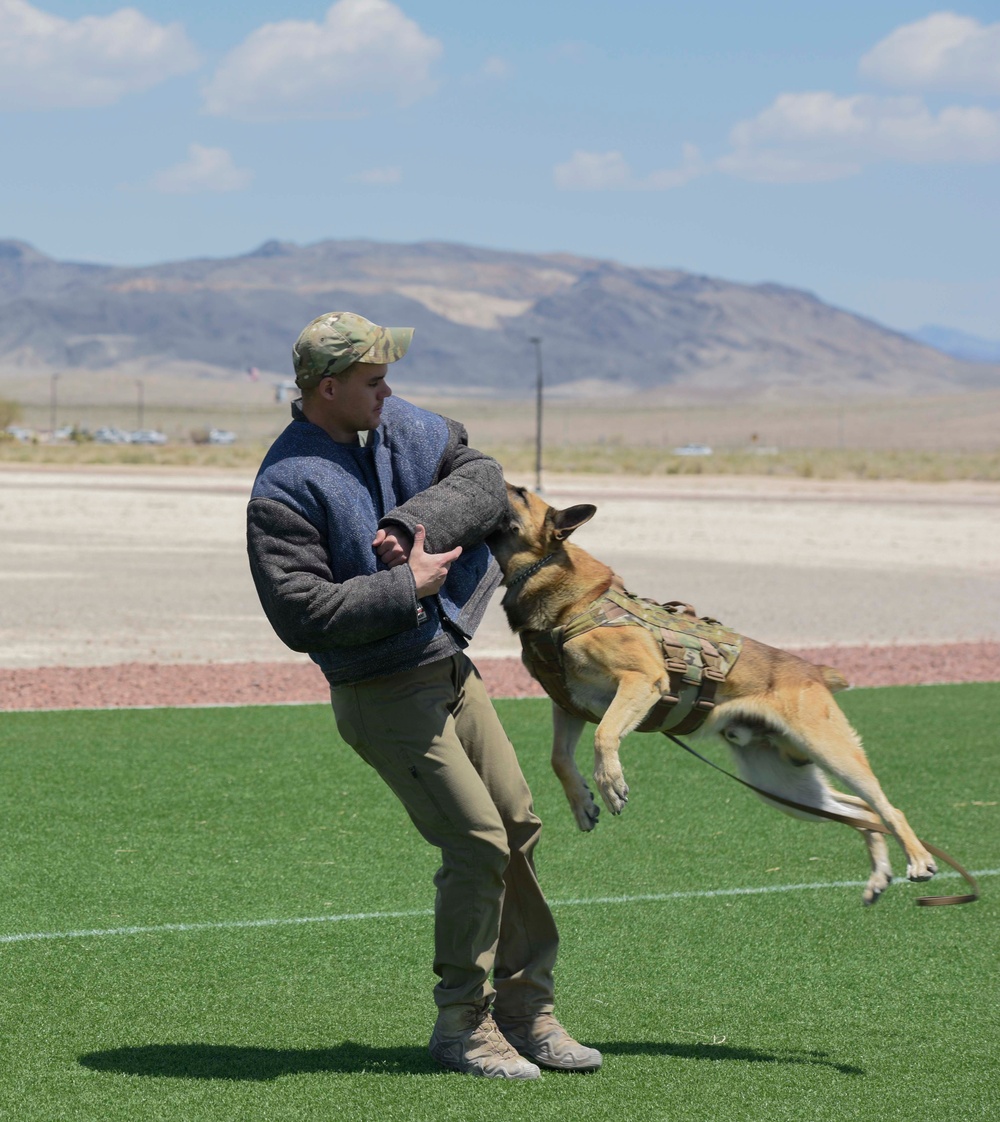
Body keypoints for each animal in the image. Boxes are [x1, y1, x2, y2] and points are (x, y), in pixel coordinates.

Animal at [489, 486, 942, 906]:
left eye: (521, 493)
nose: (497, 471)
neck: (563, 597)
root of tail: (813, 671)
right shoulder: (568, 705)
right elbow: (559, 758)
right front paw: (582, 802)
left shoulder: (643, 680)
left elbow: (606, 736)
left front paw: (611, 784)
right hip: (783, 787)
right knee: (862, 813)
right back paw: (879, 875)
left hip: (831, 752)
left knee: (887, 807)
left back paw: (919, 860)